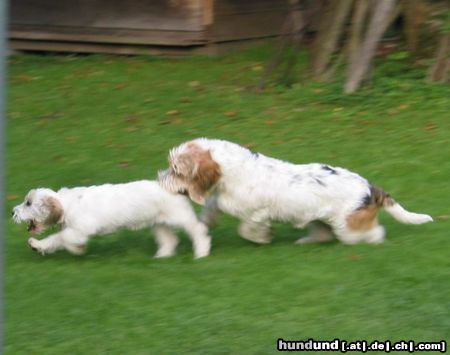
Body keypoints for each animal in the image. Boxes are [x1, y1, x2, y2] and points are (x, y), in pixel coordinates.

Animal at [11, 181, 213, 258]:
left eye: (28, 203)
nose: (13, 212)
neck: (67, 204)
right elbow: (54, 240)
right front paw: (38, 245)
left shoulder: (79, 230)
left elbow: (61, 238)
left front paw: (77, 249)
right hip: (158, 223)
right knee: (170, 240)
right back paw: (161, 257)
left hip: (180, 217)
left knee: (199, 231)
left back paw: (201, 253)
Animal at [160, 140, 434, 248]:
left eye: (176, 170)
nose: (160, 179)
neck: (234, 171)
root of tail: (370, 187)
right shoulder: (222, 198)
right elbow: (212, 206)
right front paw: (205, 223)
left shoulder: (257, 213)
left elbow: (247, 229)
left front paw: (263, 238)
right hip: (321, 218)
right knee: (323, 234)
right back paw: (304, 241)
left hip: (349, 228)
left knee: (376, 233)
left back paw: (375, 242)